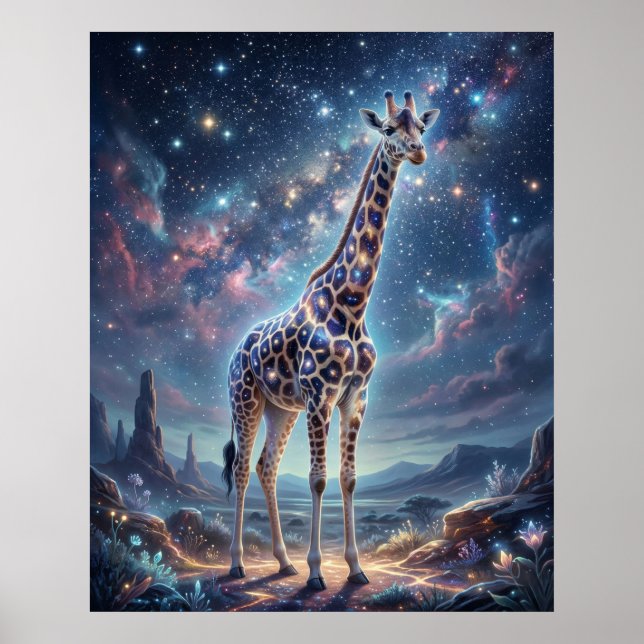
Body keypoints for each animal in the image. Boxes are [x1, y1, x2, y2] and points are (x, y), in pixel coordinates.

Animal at [222, 90, 440, 590]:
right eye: (388, 129)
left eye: (422, 125)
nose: (418, 152)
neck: (353, 306)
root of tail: (235, 350)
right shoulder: (320, 396)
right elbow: (318, 478)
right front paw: (318, 572)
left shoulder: (356, 396)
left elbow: (349, 478)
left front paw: (356, 568)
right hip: (245, 400)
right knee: (242, 469)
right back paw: (239, 563)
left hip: (281, 409)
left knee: (266, 467)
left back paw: (283, 562)